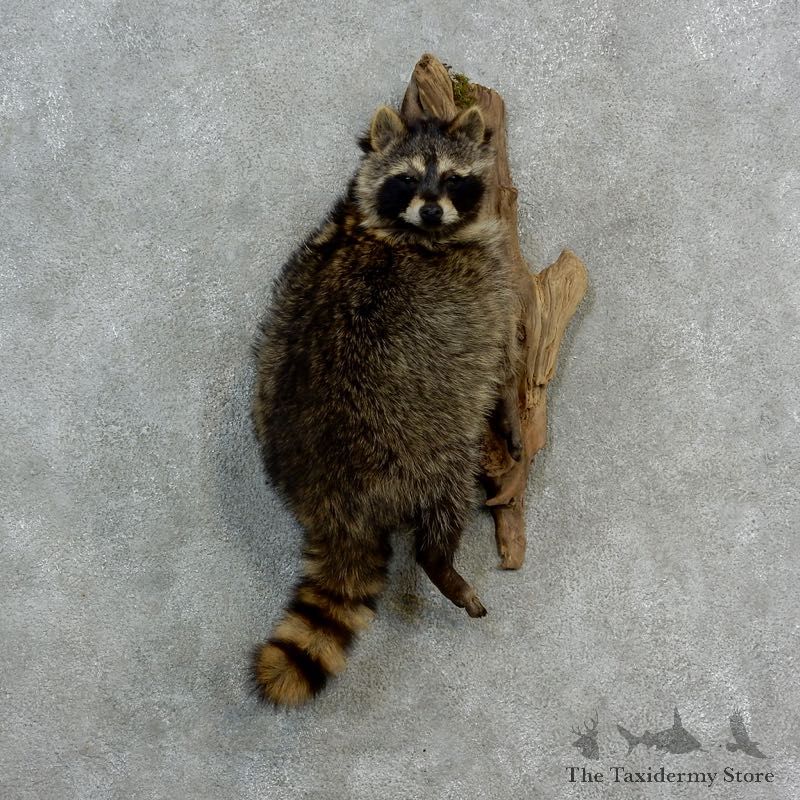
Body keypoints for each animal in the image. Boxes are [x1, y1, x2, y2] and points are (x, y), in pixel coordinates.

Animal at [250, 104, 521, 705]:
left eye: (452, 179)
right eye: (407, 180)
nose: (430, 207)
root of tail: (334, 503)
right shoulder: (487, 287)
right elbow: (502, 360)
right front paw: (512, 414)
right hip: (418, 446)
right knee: (445, 494)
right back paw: (440, 559)